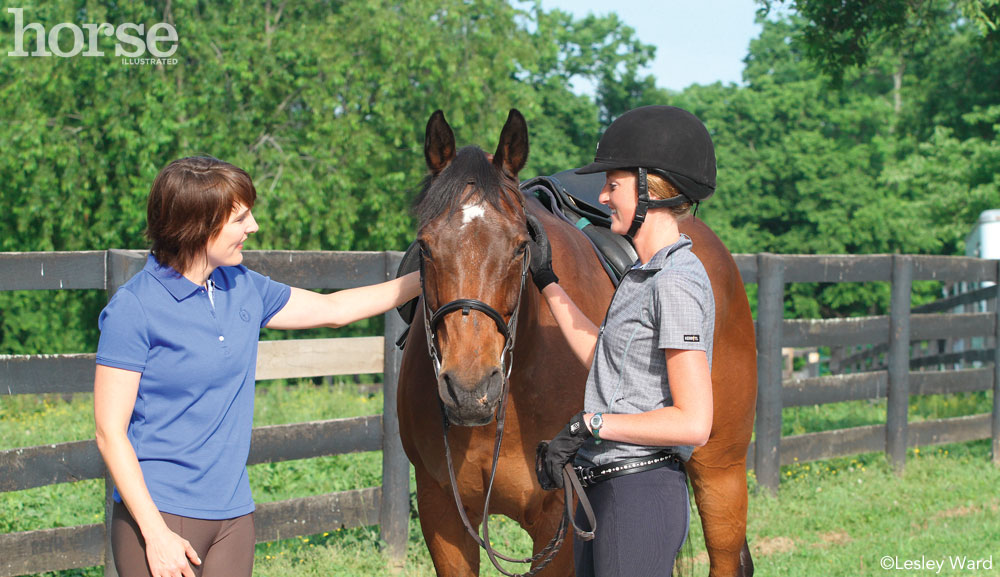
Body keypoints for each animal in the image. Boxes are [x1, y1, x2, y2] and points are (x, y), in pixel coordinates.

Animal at [398, 109, 756, 576]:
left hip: (721, 472)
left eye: (520, 247)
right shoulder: (442, 512)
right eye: (424, 247)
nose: (469, 390)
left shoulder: (559, 520)